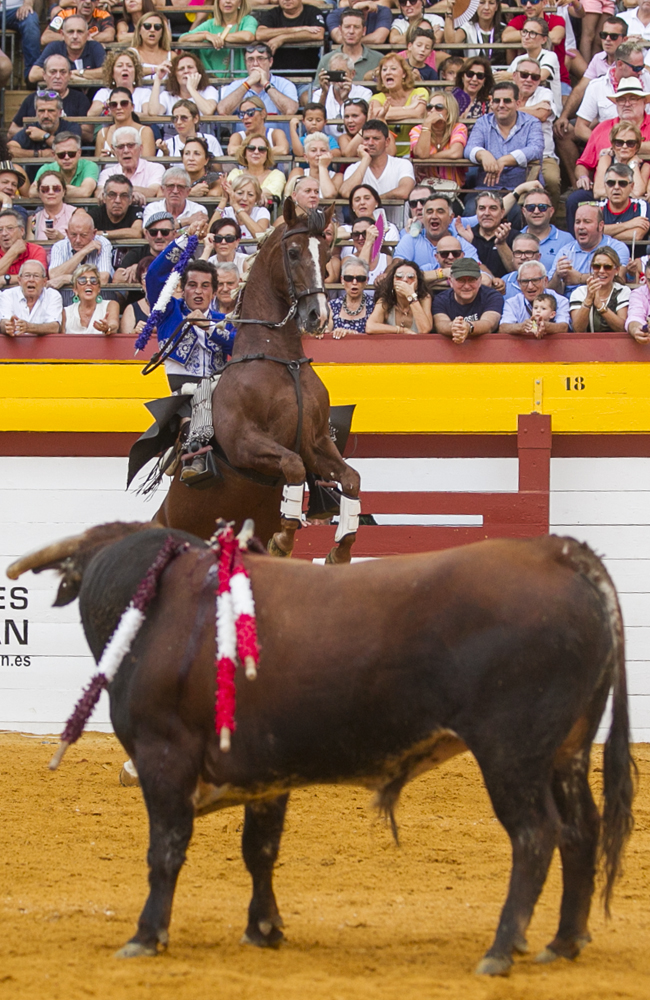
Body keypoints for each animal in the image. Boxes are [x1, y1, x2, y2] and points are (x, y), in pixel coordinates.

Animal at [5, 524, 632, 976]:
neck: (156, 606)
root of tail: (560, 553)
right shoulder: (266, 772)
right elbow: (260, 851)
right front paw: (263, 930)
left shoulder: (164, 756)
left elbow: (166, 850)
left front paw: (145, 935)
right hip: (566, 753)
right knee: (582, 830)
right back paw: (563, 941)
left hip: (512, 755)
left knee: (535, 836)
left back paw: (502, 949)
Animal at [155, 200, 362, 568]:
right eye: (293, 252)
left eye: (326, 254)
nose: (319, 316)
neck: (282, 361)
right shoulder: (245, 443)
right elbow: (292, 467)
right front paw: (283, 538)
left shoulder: (316, 443)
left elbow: (350, 479)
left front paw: (340, 550)